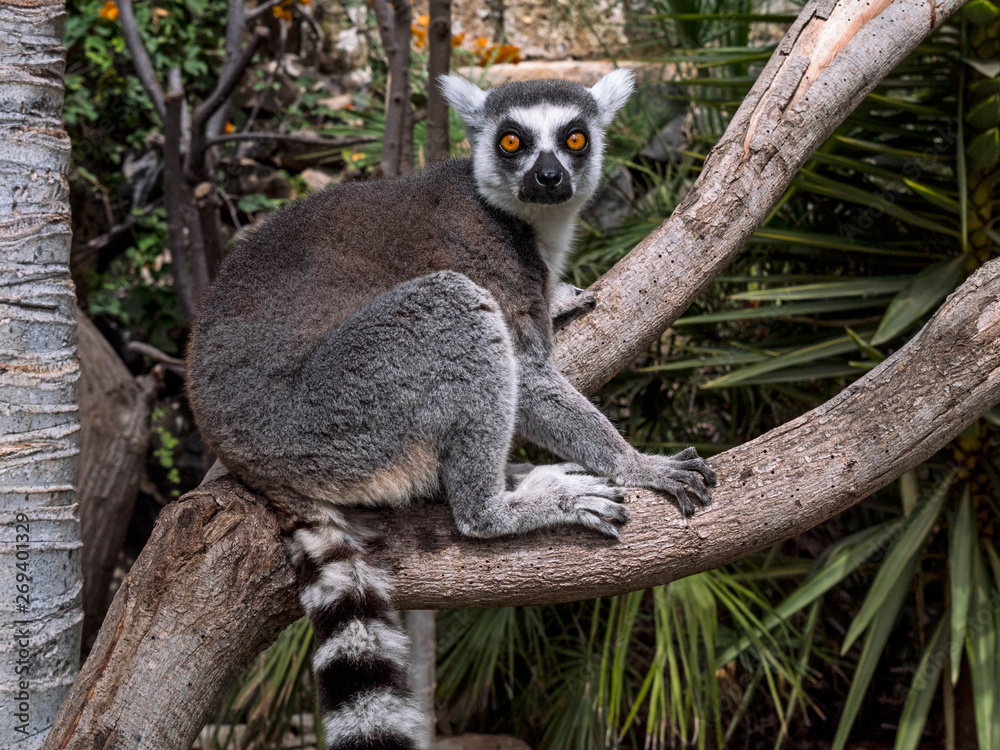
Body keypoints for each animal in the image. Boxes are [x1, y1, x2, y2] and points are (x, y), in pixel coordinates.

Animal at [186, 69, 716, 750]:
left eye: (574, 138)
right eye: (513, 141)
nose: (549, 177)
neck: (522, 220)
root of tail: (241, 454)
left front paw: (563, 297)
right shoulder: (485, 254)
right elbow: (532, 378)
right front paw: (639, 464)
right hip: (341, 411)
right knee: (455, 312)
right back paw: (502, 507)